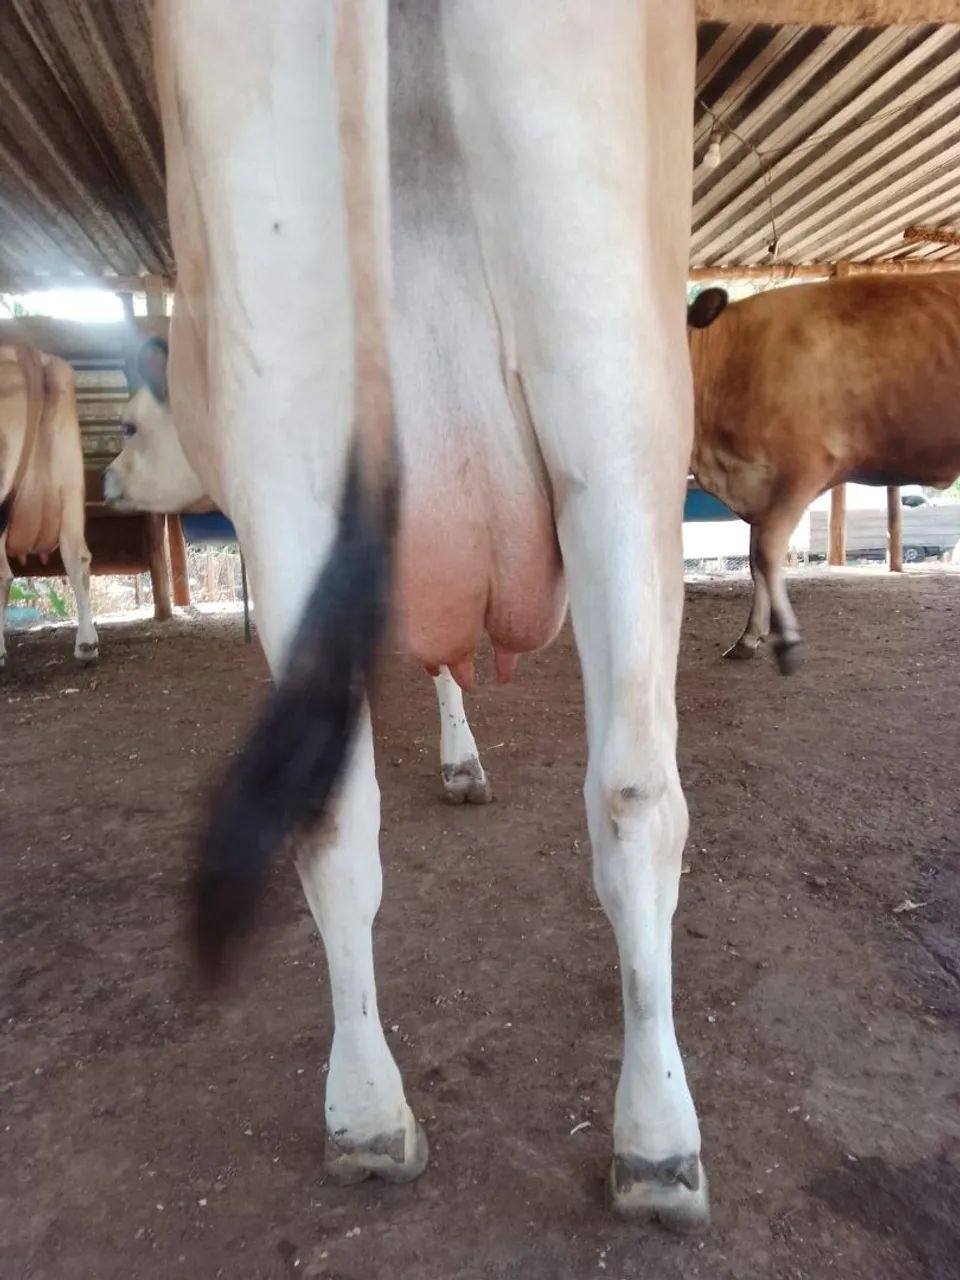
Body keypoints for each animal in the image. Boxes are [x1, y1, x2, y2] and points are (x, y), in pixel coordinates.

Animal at [687, 273, 960, 673]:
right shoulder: (760, 486)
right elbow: (754, 561)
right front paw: (750, 636)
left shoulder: (803, 468)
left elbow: (766, 553)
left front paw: (786, 638)